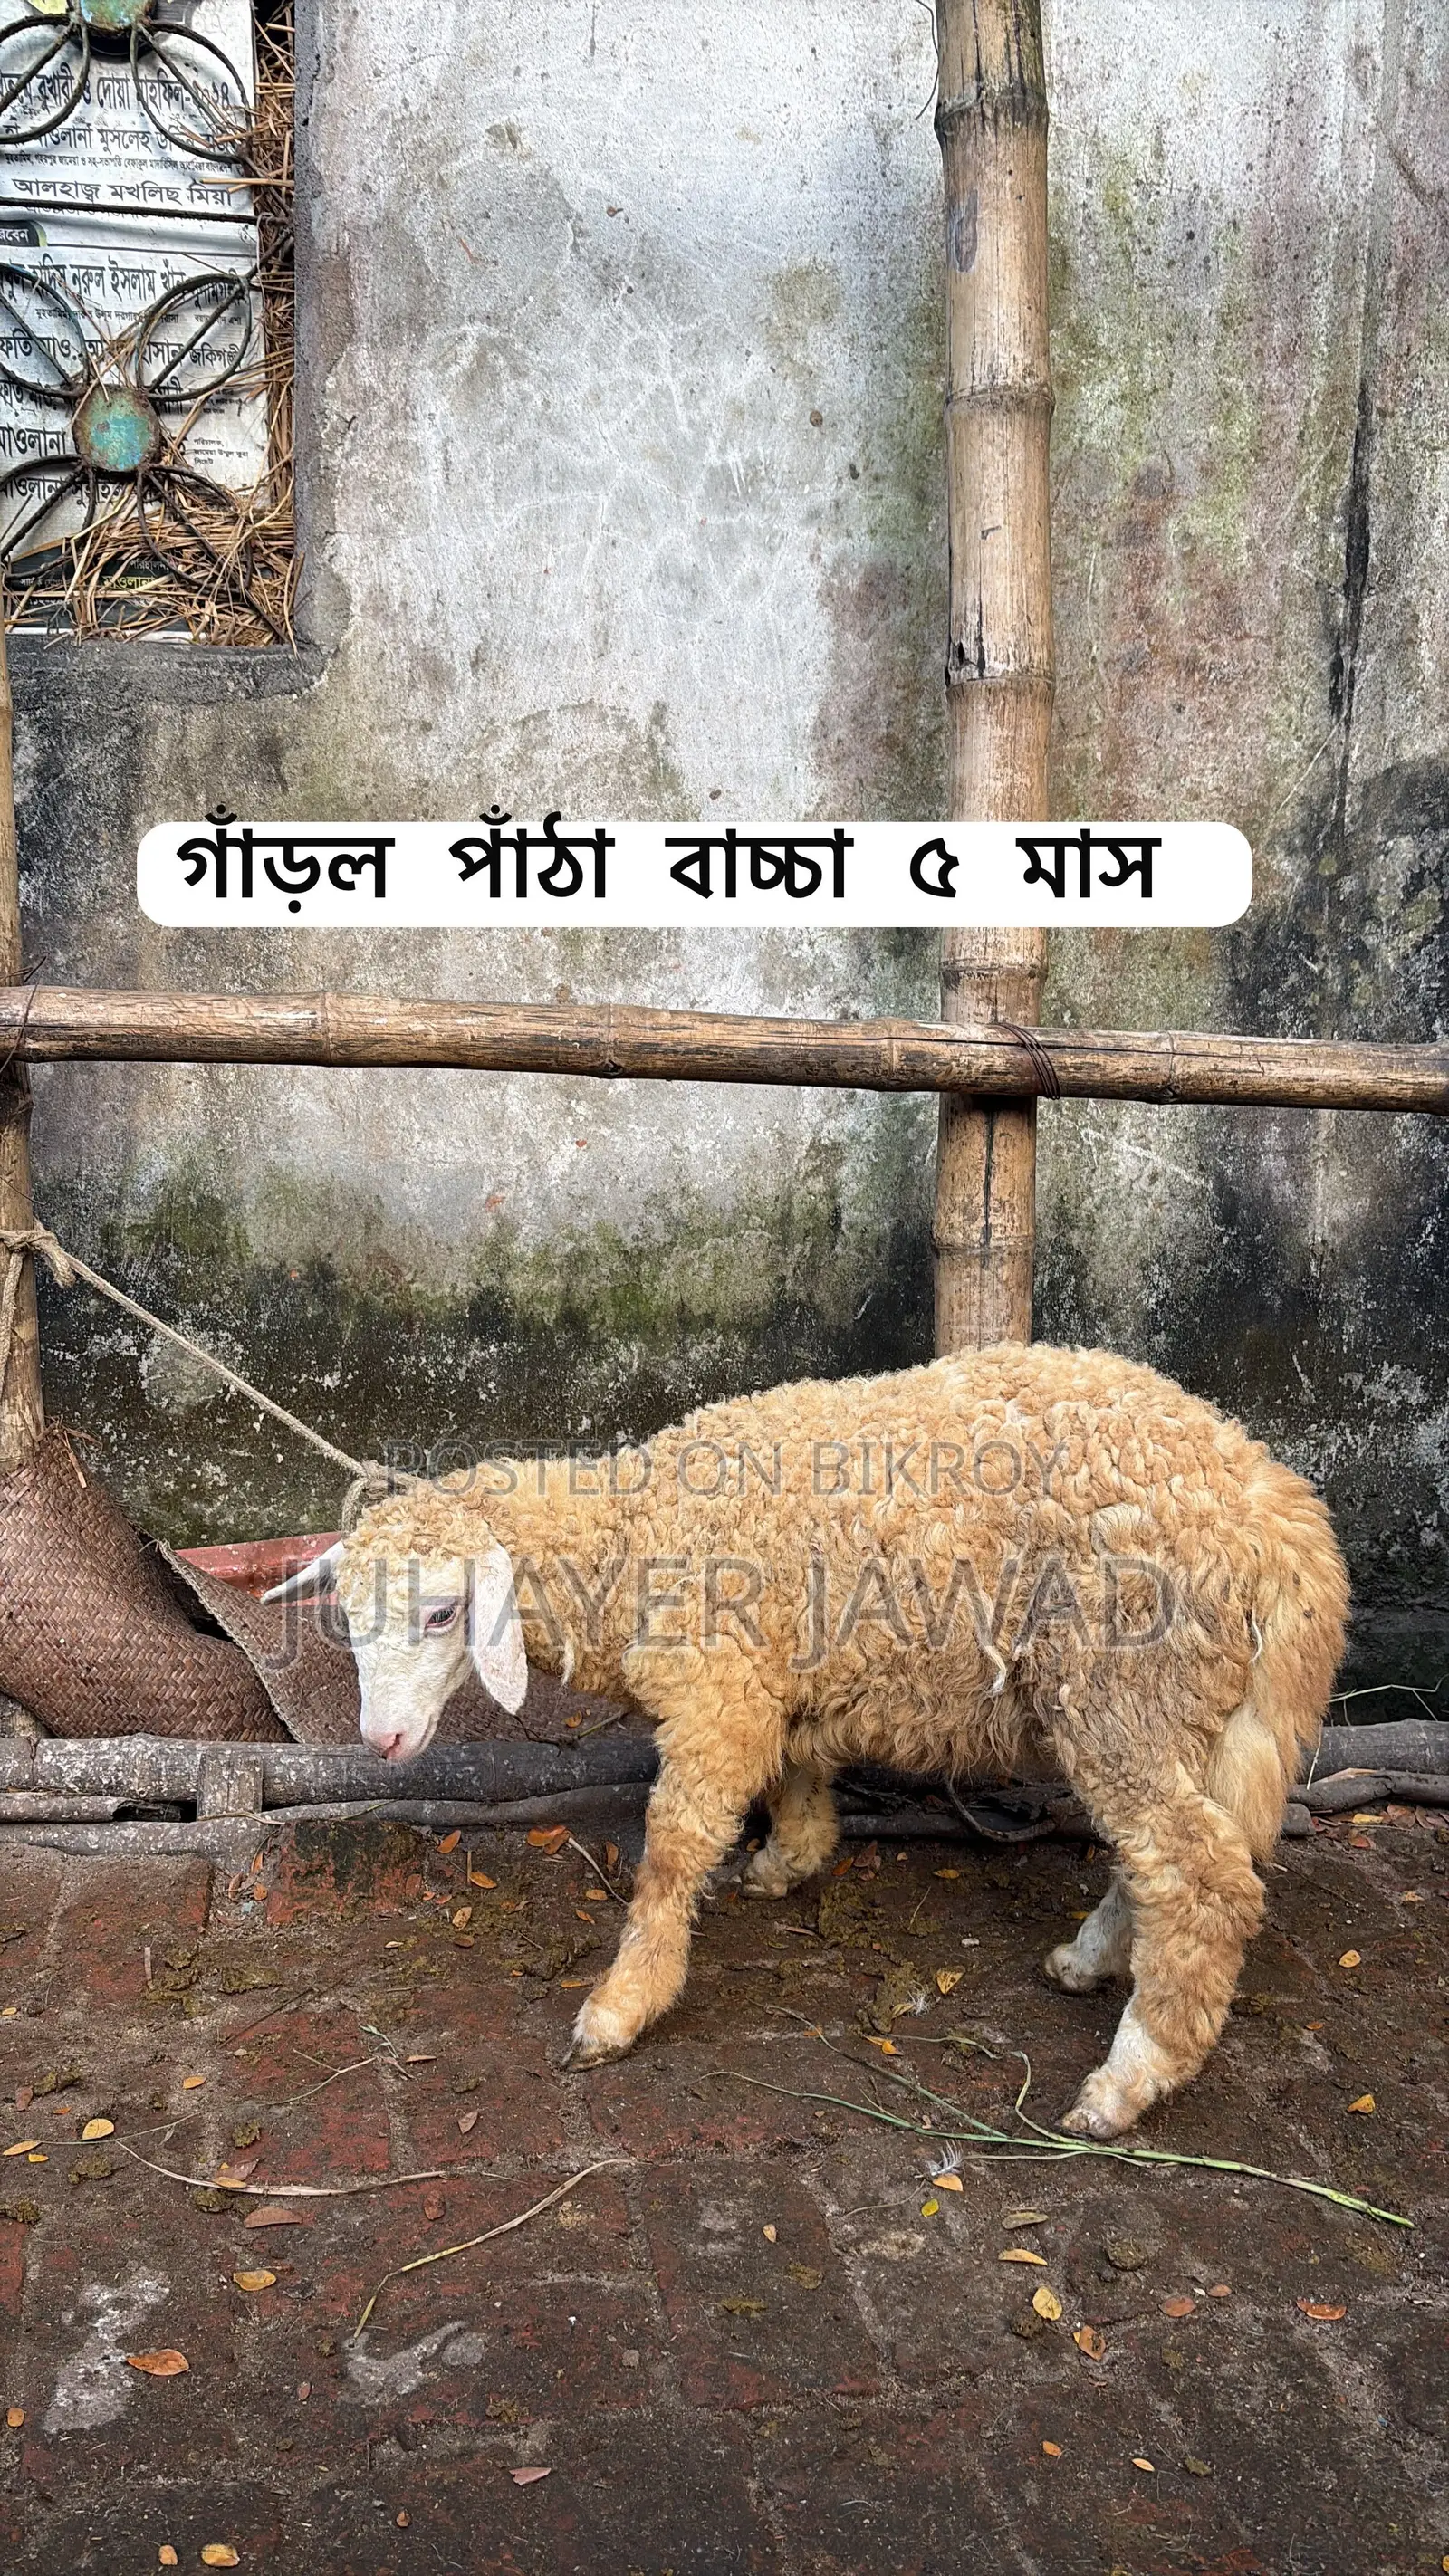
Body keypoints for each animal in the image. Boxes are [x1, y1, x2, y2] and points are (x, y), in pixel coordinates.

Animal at [268, 1343, 1348, 2138]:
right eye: (347, 1621)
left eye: (444, 1612)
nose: (382, 1738)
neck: (632, 1531)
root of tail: (1281, 1513)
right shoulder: (771, 1678)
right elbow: (794, 1770)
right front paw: (789, 1859)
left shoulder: (717, 1695)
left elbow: (673, 1848)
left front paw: (623, 2003)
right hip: (1169, 1706)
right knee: (1161, 1855)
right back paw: (1090, 1959)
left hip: (1127, 1678)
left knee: (1201, 1873)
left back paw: (1129, 2079)